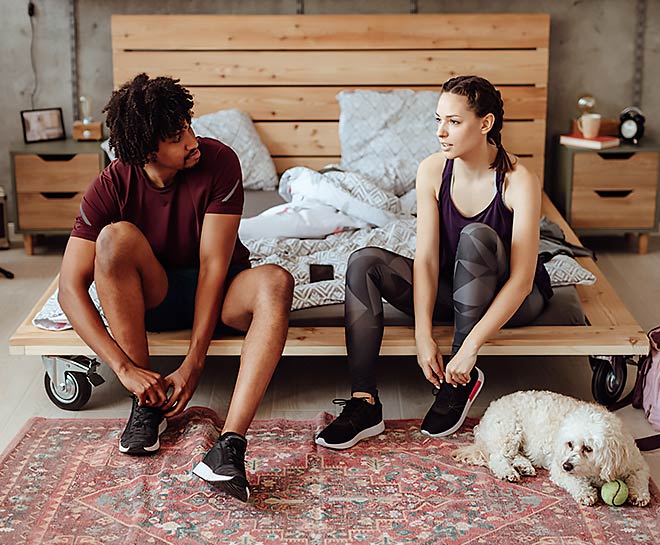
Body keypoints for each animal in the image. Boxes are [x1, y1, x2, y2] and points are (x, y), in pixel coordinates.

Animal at [454, 388, 648, 504]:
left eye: (588, 448)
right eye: (569, 444)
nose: (567, 465)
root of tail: (489, 411)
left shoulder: (635, 462)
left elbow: (640, 477)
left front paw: (640, 494)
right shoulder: (559, 468)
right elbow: (575, 480)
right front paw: (585, 493)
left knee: (512, 455)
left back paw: (524, 466)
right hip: (509, 431)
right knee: (497, 458)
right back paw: (508, 472)